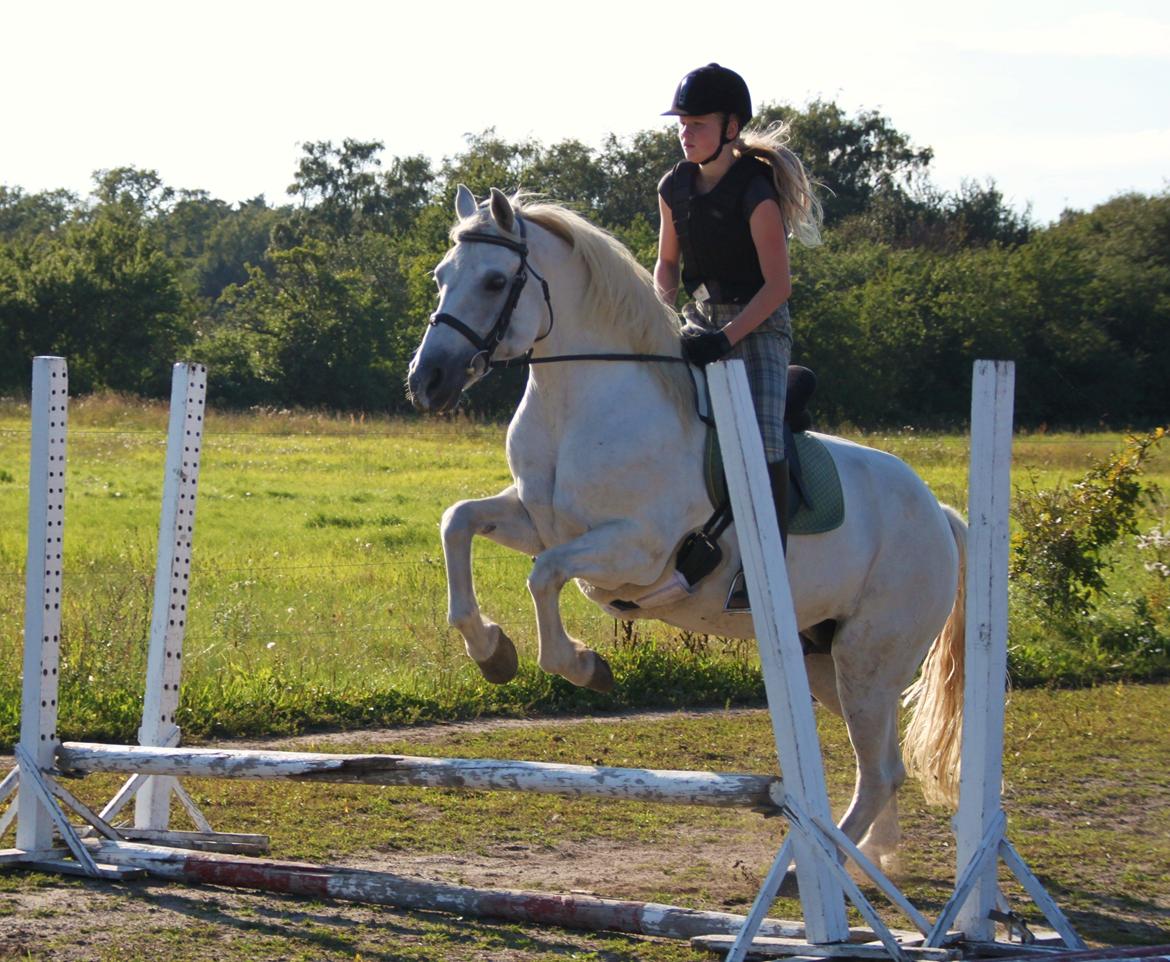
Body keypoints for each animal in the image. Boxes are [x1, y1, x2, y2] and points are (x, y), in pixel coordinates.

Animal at [409, 188, 968, 866]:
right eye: (442, 276)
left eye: (494, 281)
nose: (425, 381)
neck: (577, 405)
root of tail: (938, 513)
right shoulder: (536, 521)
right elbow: (457, 522)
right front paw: (491, 650)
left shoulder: (636, 550)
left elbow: (544, 577)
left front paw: (582, 665)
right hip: (825, 660)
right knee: (884, 764)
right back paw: (867, 856)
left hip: (870, 659)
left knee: (880, 769)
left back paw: (814, 868)